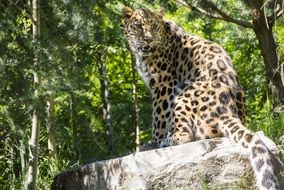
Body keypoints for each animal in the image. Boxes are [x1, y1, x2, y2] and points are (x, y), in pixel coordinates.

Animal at [122, 6, 282, 189]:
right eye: (139, 26)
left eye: (154, 27)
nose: (148, 40)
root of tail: (227, 111)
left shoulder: (164, 85)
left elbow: (160, 118)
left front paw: (153, 143)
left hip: (183, 92)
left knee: (185, 135)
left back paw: (167, 140)